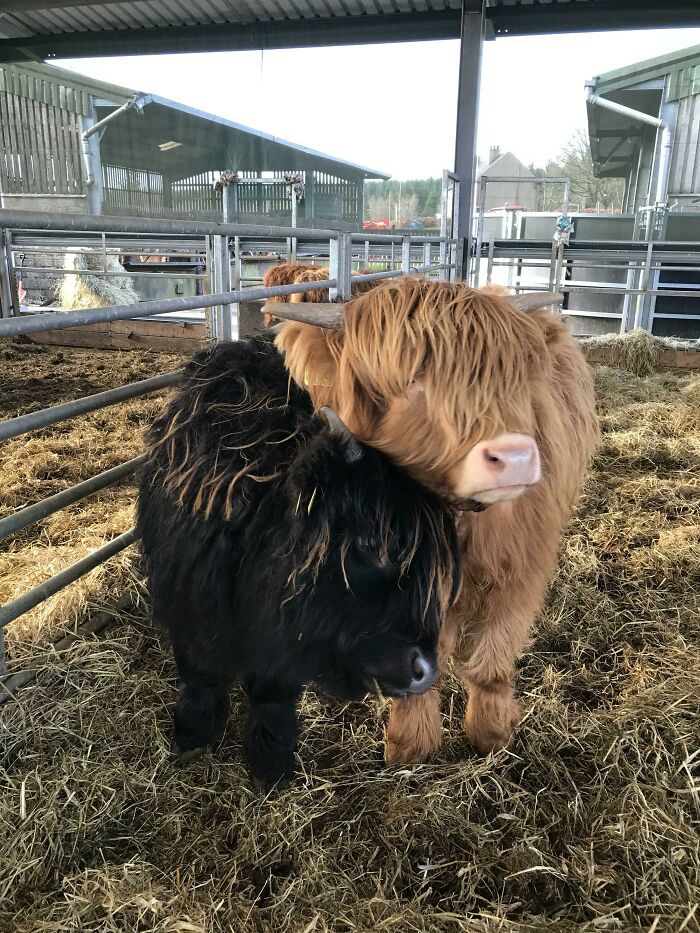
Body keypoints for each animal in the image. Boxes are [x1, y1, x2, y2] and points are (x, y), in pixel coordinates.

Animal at [137, 334, 461, 783]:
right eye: (371, 543)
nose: (424, 669)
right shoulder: (188, 600)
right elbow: (200, 672)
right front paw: (193, 731)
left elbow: (272, 693)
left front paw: (270, 756)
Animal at [274, 277, 599, 764]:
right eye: (412, 381)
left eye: (510, 375)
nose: (516, 457)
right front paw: (411, 743)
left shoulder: (519, 571)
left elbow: (491, 660)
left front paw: (491, 732)